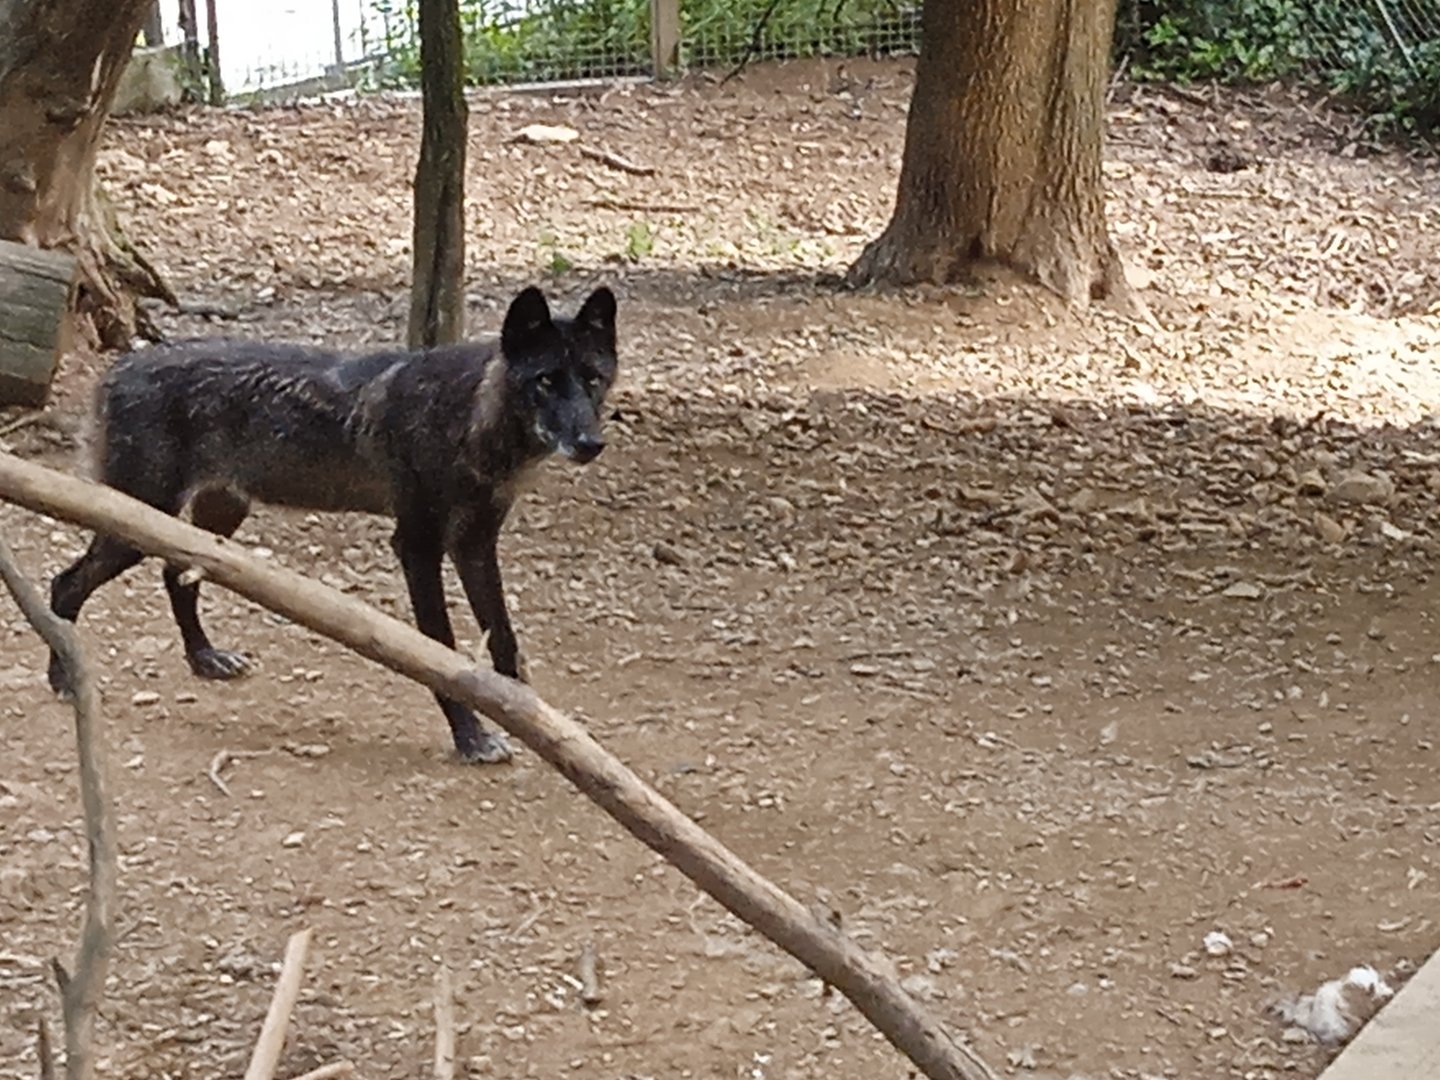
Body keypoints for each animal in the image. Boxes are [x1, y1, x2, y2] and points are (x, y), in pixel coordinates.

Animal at [46, 284, 620, 764]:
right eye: (546, 381)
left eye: (592, 378)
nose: (591, 444)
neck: (470, 413)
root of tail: (118, 369)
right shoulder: (417, 545)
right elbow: (443, 652)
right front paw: (473, 737)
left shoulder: (477, 543)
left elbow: (503, 638)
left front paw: (534, 720)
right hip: (135, 523)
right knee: (66, 583)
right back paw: (65, 676)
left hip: (215, 517)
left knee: (176, 575)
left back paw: (206, 658)